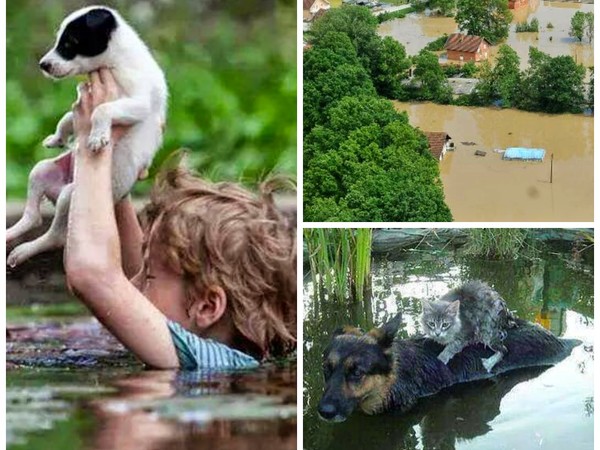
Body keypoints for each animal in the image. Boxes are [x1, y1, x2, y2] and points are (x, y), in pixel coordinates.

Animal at [6, 5, 166, 268]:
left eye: (70, 43)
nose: (43, 64)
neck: (116, 60)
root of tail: (57, 190)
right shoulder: (83, 102)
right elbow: (68, 117)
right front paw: (58, 138)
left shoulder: (138, 102)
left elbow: (102, 109)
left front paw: (97, 137)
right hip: (41, 171)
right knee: (32, 216)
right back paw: (12, 234)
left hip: (70, 197)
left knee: (55, 236)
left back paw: (24, 250)